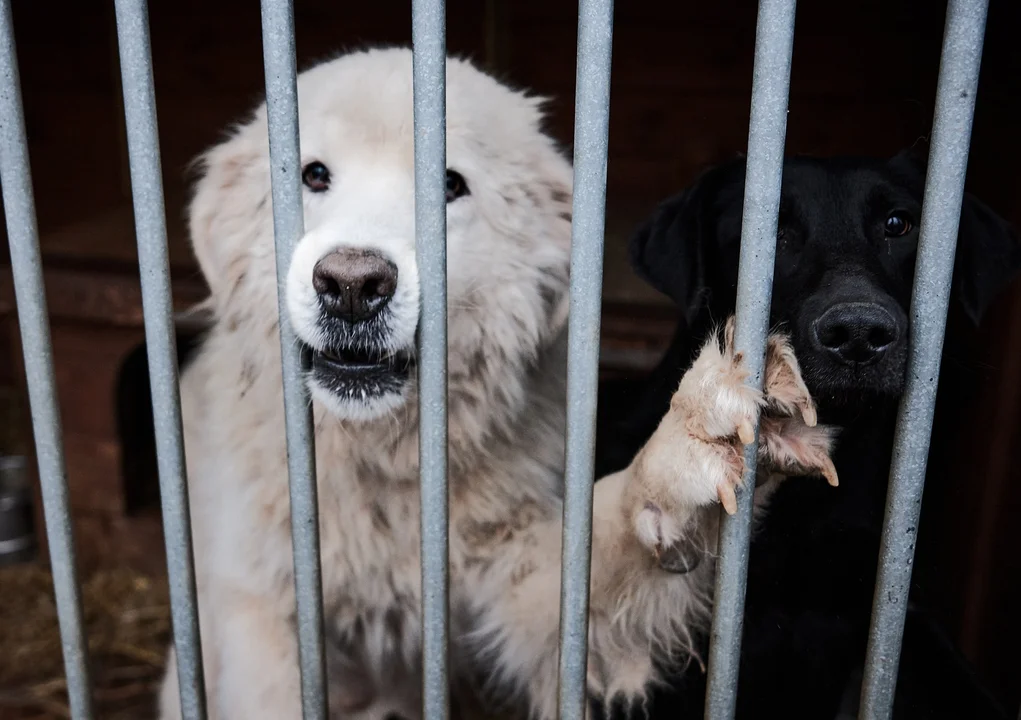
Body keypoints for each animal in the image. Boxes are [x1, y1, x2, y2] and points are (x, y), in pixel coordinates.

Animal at [155, 46, 833, 718]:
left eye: (450, 186)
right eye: (314, 175)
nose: (351, 285)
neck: (387, 463)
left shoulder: (529, 589)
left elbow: (605, 548)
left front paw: (692, 448)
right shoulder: (261, 619)